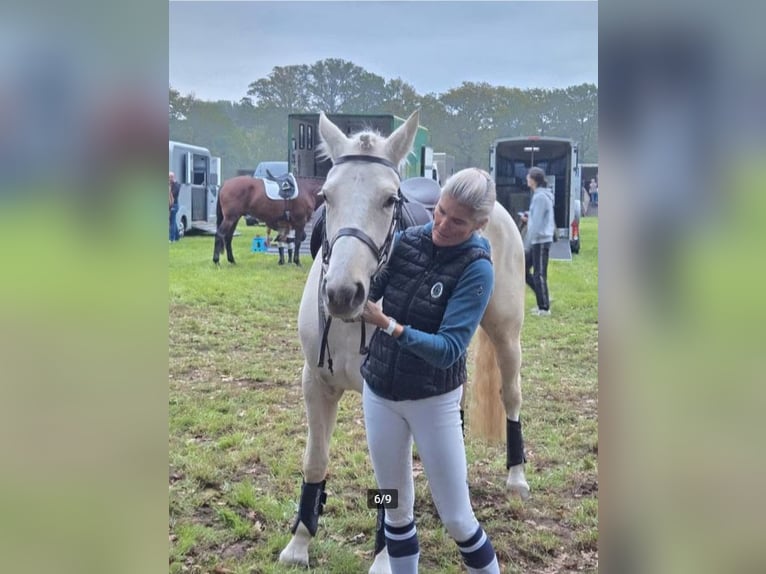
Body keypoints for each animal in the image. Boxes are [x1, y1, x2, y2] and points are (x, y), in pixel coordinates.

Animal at [278, 110, 528, 573]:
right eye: (326, 195)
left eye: (389, 200)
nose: (343, 293)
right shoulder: (315, 384)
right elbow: (315, 460)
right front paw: (300, 543)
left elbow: (388, 482)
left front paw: (382, 557)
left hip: (507, 336)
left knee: (512, 396)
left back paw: (517, 477)